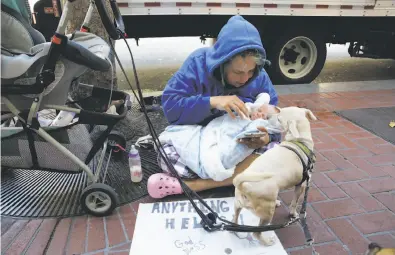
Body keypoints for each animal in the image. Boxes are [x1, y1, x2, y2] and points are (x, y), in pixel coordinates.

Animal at [234, 105, 318, 245]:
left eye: (279, 118)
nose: (267, 116)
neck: (299, 141)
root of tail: (243, 185)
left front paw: (278, 201)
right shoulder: (301, 186)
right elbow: (294, 203)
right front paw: (293, 214)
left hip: (238, 204)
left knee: (234, 218)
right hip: (267, 212)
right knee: (256, 233)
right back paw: (267, 241)